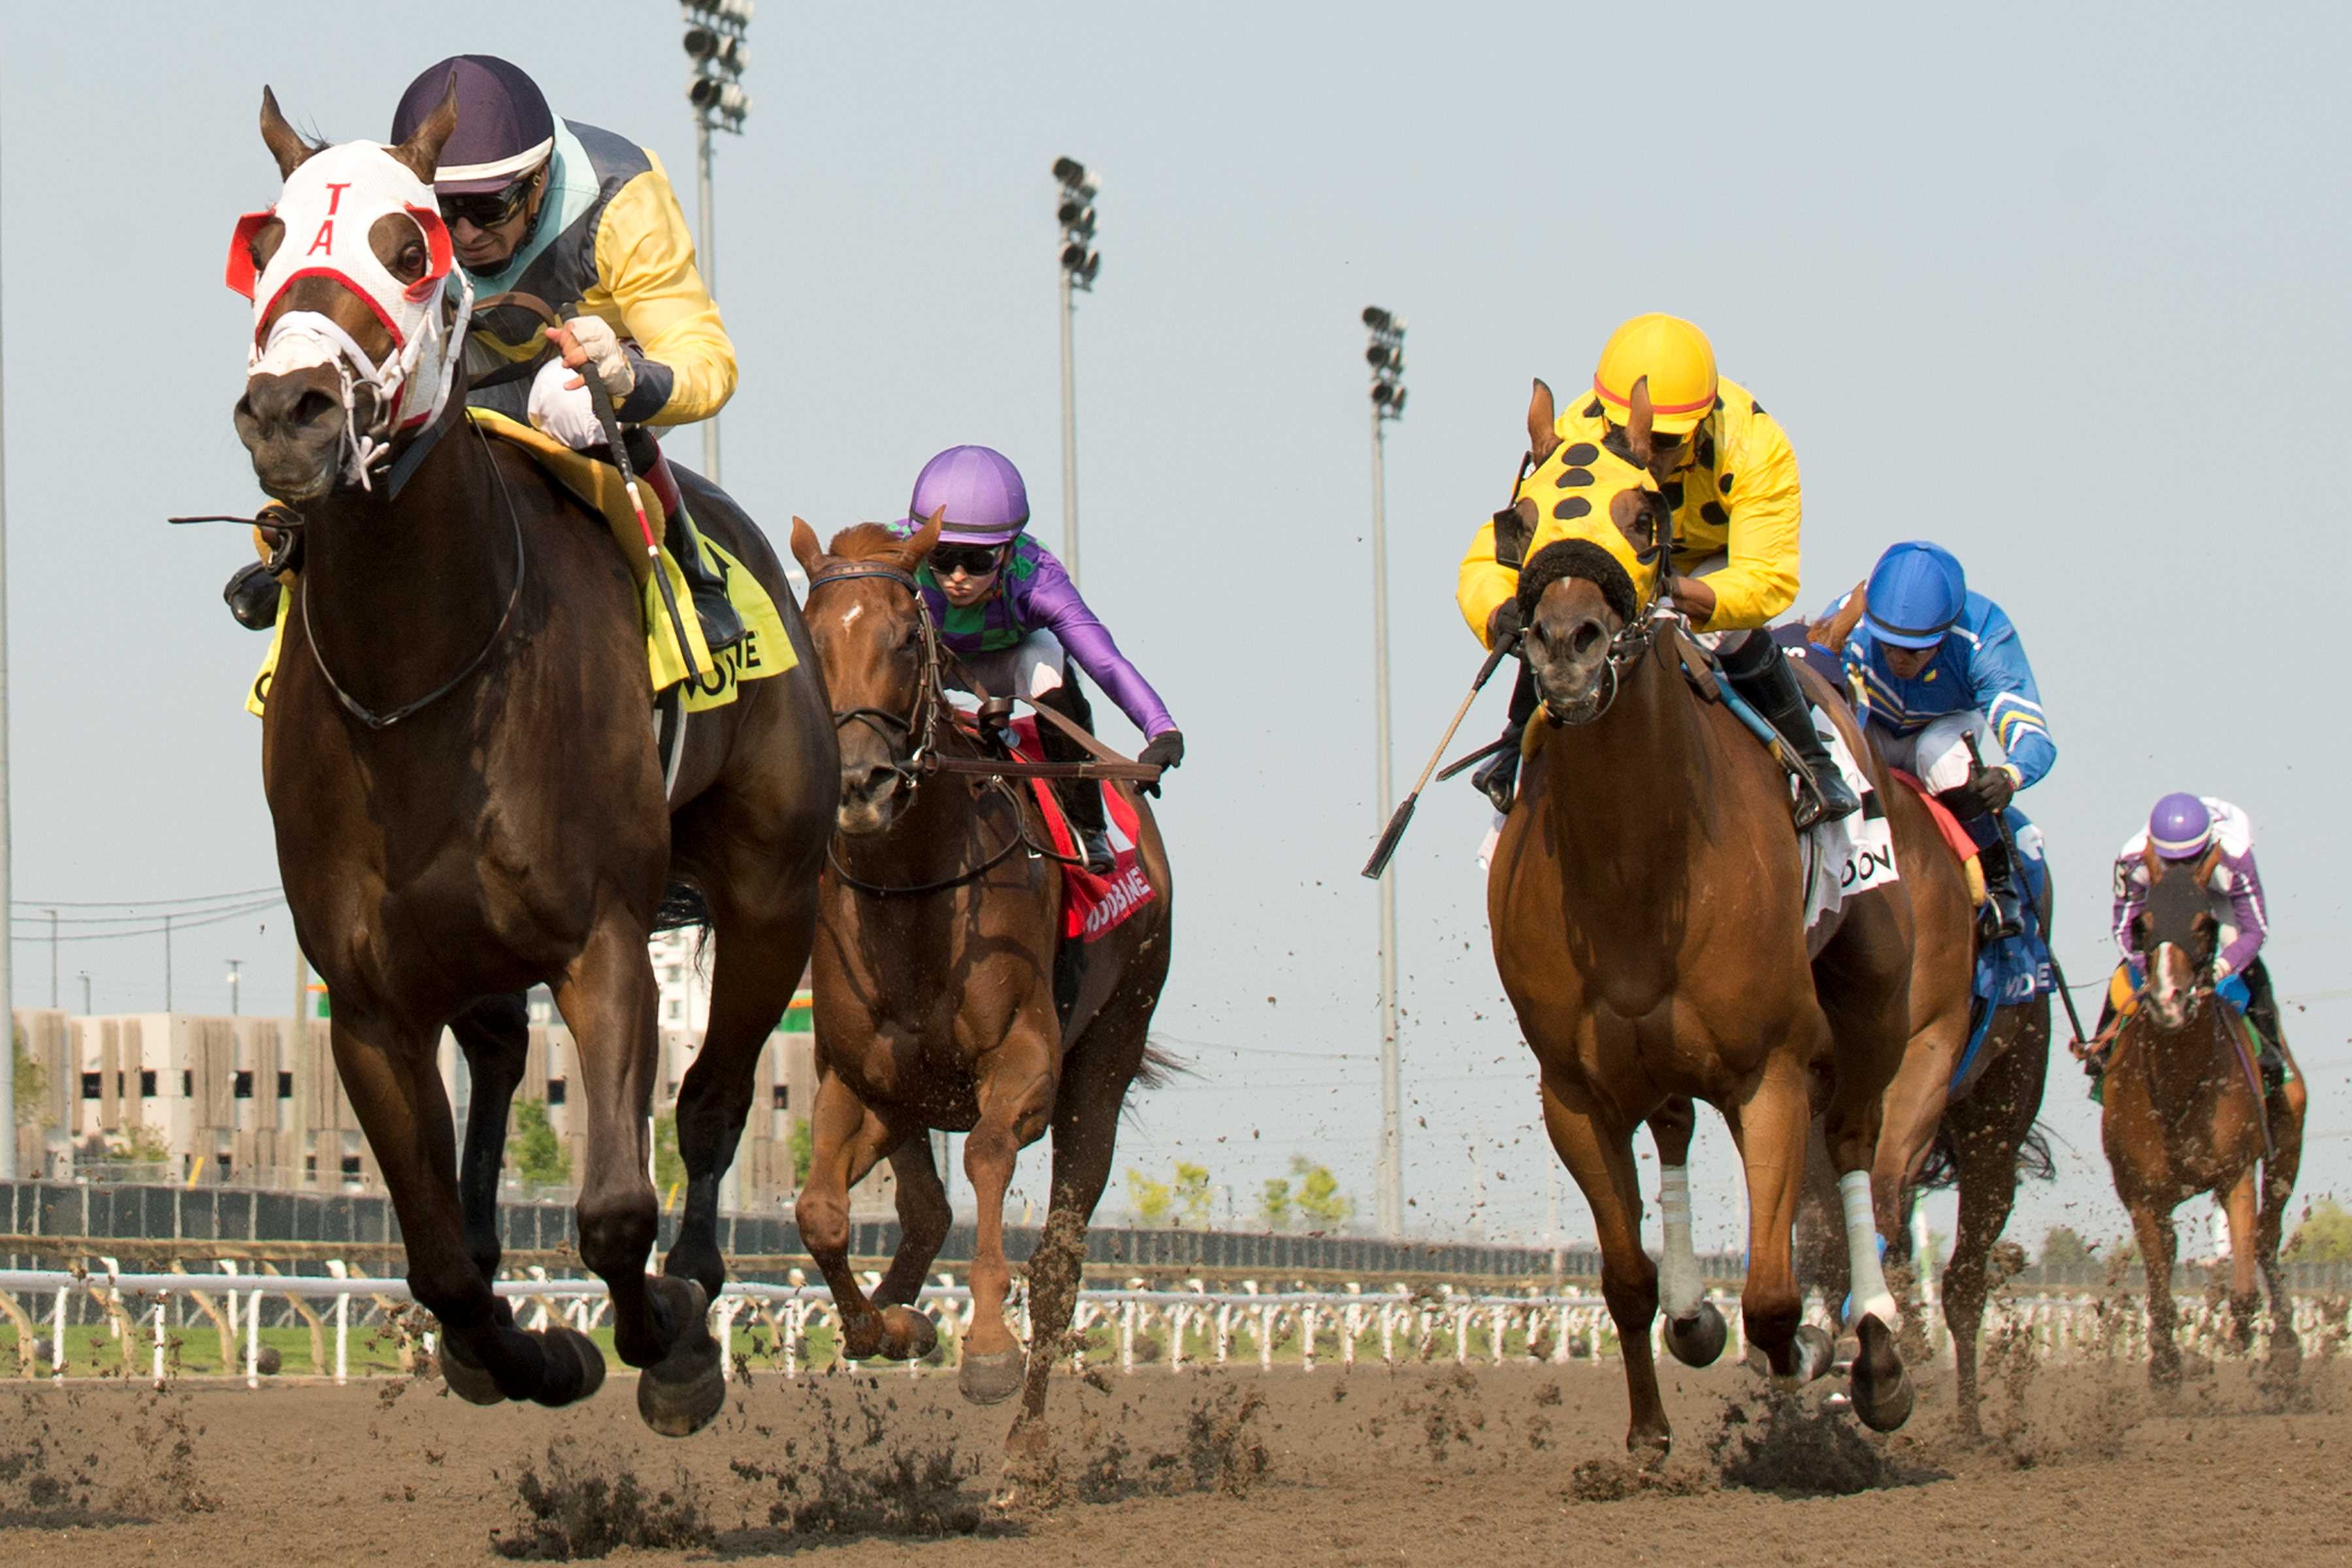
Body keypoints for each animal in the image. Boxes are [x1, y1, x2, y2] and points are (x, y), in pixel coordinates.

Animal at [227, 86, 837, 1439]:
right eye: (269, 240)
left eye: (409, 249)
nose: (290, 411)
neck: (423, 669)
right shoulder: (367, 997)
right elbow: (438, 1265)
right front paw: (522, 1351)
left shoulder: (606, 936)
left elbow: (615, 1208)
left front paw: (667, 1344)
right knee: (504, 1057)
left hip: (773, 892)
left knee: (714, 1100)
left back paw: (697, 1287)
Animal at [785, 515, 1171, 1457]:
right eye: (814, 640)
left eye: (905, 638)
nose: (860, 784)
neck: (913, 890)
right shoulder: (857, 1077)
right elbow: (820, 1213)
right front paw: (886, 1328)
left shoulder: (1024, 1063)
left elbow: (992, 1158)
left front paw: (988, 1346)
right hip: (911, 1099)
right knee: (923, 1213)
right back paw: (895, 1315)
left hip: (1110, 1053)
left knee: (1060, 1260)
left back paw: (1025, 1456)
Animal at [2107, 846, 2305, 1382]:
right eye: (2144, 922)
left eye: (2203, 923)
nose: (2168, 1002)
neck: (2178, 1087)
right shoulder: (2141, 1195)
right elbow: (2160, 1301)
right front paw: (2168, 1367)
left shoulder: (2235, 1172)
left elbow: (2243, 1290)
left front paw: (2241, 1338)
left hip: (2285, 1148)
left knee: (2267, 1240)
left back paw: (2285, 1353)